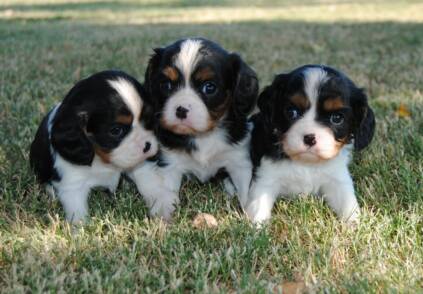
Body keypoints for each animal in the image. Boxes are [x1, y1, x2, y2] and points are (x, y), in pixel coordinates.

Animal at [29, 70, 158, 223]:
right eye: (116, 131)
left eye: (148, 119)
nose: (147, 145)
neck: (100, 158)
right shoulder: (73, 185)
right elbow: (78, 211)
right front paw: (81, 228)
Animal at [131, 38, 260, 219]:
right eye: (166, 85)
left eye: (209, 87)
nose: (181, 110)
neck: (202, 135)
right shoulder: (170, 163)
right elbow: (167, 190)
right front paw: (166, 211)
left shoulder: (239, 161)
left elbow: (246, 189)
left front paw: (251, 213)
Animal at [247, 65, 376, 224]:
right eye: (292, 112)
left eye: (337, 118)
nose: (309, 138)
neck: (306, 163)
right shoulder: (265, 178)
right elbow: (258, 207)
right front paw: (257, 228)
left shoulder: (337, 179)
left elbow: (348, 204)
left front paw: (354, 224)